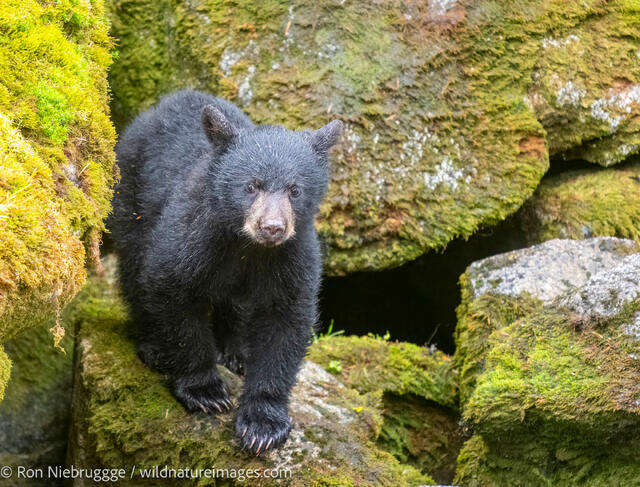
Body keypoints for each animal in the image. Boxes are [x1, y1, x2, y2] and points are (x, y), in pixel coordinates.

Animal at [109, 90, 342, 454]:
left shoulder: (291, 256)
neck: (248, 246)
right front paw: (206, 392)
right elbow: (169, 291)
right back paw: (153, 347)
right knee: (134, 267)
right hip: (131, 196)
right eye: (252, 186)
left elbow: (285, 323)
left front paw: (263, 425)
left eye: (294, 189)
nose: (272, 227)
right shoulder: (193, 237)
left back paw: (237, 352)